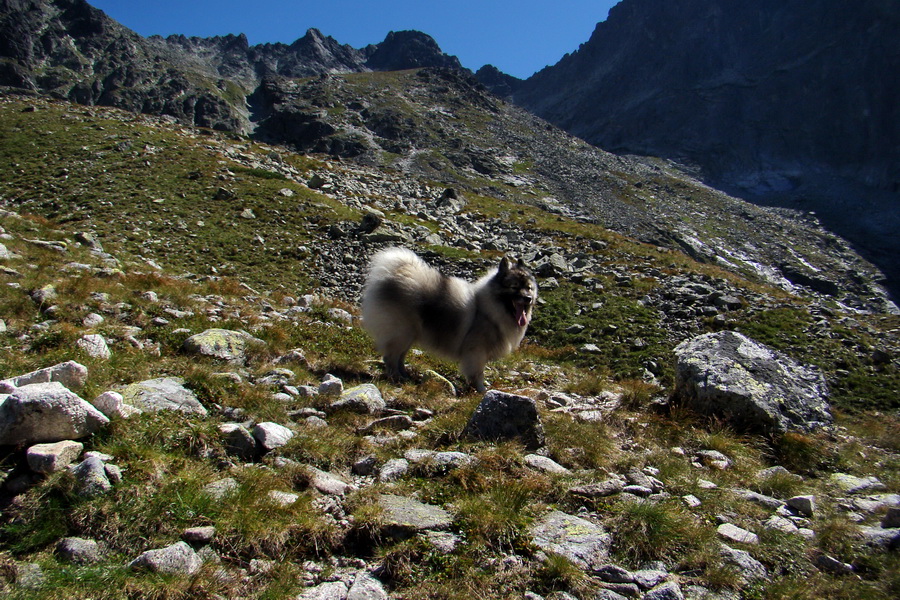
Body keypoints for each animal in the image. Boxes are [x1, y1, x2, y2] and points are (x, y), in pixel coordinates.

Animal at [362, 246, 536, 392]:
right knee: (390, 357)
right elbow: (478, 373)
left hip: (408, 336)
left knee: (399, 357)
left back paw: (405, 376)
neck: (488, 311)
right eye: (514, 287)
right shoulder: (477, 352)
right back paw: (396, 378)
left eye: (529, 288)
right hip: (402, 333)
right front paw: (481, 391)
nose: (528, 298)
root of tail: (393, 275)